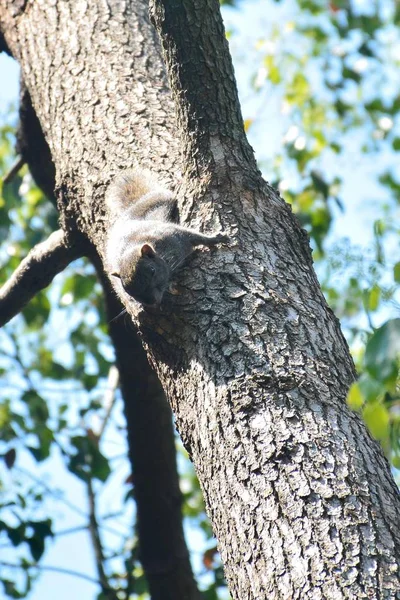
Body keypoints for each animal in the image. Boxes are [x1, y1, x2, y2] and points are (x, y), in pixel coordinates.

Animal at [104, 171, 228, 308]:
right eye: (127, 290)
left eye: (152, 270)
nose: (152, 302)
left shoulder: (173, 234)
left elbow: (196, 237)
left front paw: (216, 238)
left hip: (162, 199)